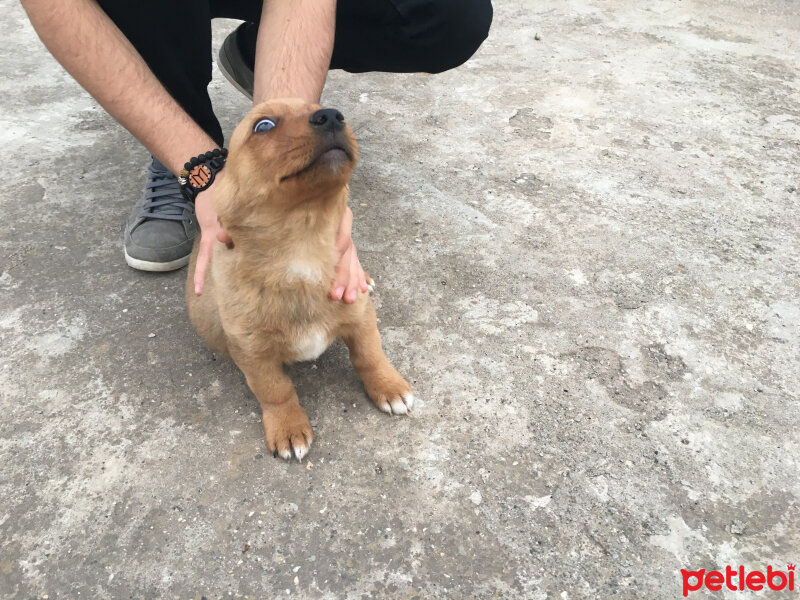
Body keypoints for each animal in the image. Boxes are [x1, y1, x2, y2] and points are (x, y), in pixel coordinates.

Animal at [185, 98, 416, 460]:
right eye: (263, 125)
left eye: (319, 106)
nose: (332, 116)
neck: (302, 248)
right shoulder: (253, 354)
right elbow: (276, 391)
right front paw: (288, 427)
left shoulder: (361, 316)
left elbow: (370, 356)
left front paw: (388, 387)